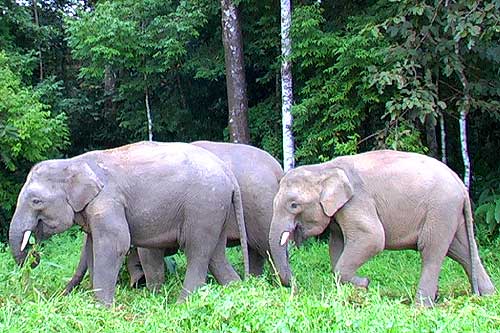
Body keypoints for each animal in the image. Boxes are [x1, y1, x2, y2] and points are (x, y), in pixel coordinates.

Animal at [7, 139, 250, 304]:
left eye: (36, 201)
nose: (33, 257)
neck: (74, 162)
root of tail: (229, 174)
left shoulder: (108, 201)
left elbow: (115, 245)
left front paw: (103, 309)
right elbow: (93, 248)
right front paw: (96, 305)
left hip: (203, 207)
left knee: (197, 252)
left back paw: (182, 304)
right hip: (216, 210)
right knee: (216, 255)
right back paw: (237, 291)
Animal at [65, 141, 286, 292]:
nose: (64, 293)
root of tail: (279, 170)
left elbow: (147, 253)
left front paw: (150, 291)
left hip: (260, 208)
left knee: (267, 247)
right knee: (254, 252)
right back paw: (256, 282)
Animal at [268, 149, 494, 304]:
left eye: (294, 205)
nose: (295, 287)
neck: (324, 168)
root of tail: (460, 184)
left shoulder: (357, 201)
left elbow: (373, 238)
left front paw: (365, 283)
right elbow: (337, 246)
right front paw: (348, 294)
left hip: (440, 209)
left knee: (431, 251)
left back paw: (421, 306)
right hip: (451, 214)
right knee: (463, 251)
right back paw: (487, 297)